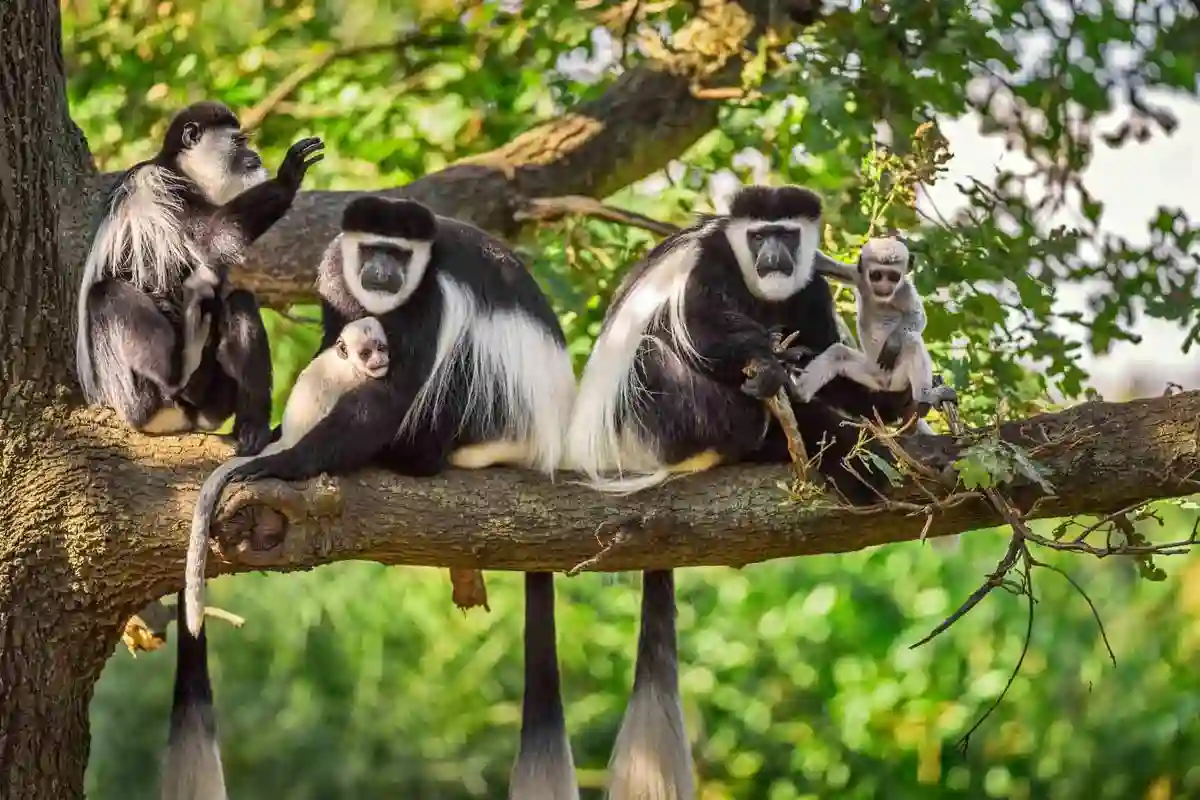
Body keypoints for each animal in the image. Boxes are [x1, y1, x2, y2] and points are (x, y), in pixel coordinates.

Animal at [75, 100, 324, 456]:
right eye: (239, 141)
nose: (255, 156)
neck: (182, 170)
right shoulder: (163, 186)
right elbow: (215, 235)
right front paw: (288, 177)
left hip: (212, 398)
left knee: (239, 302)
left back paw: (252, 429)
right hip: (128, 388)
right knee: (107, 294)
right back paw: (169, 386)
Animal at [184, 317, 390, 635]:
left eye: (380, 347)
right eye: (366, 353)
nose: (379, 360)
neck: (347, 363)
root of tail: (289, 439)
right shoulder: (354, 380)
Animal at [564, 183, 914, 503]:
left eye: (786, 235)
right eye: (758, 237)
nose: (772, 257)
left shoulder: (811, 286)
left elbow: (825, 358)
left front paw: (887, 398)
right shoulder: (710, 259)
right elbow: (701, 327)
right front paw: (769, 366)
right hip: (662, 425)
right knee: (650, 355)